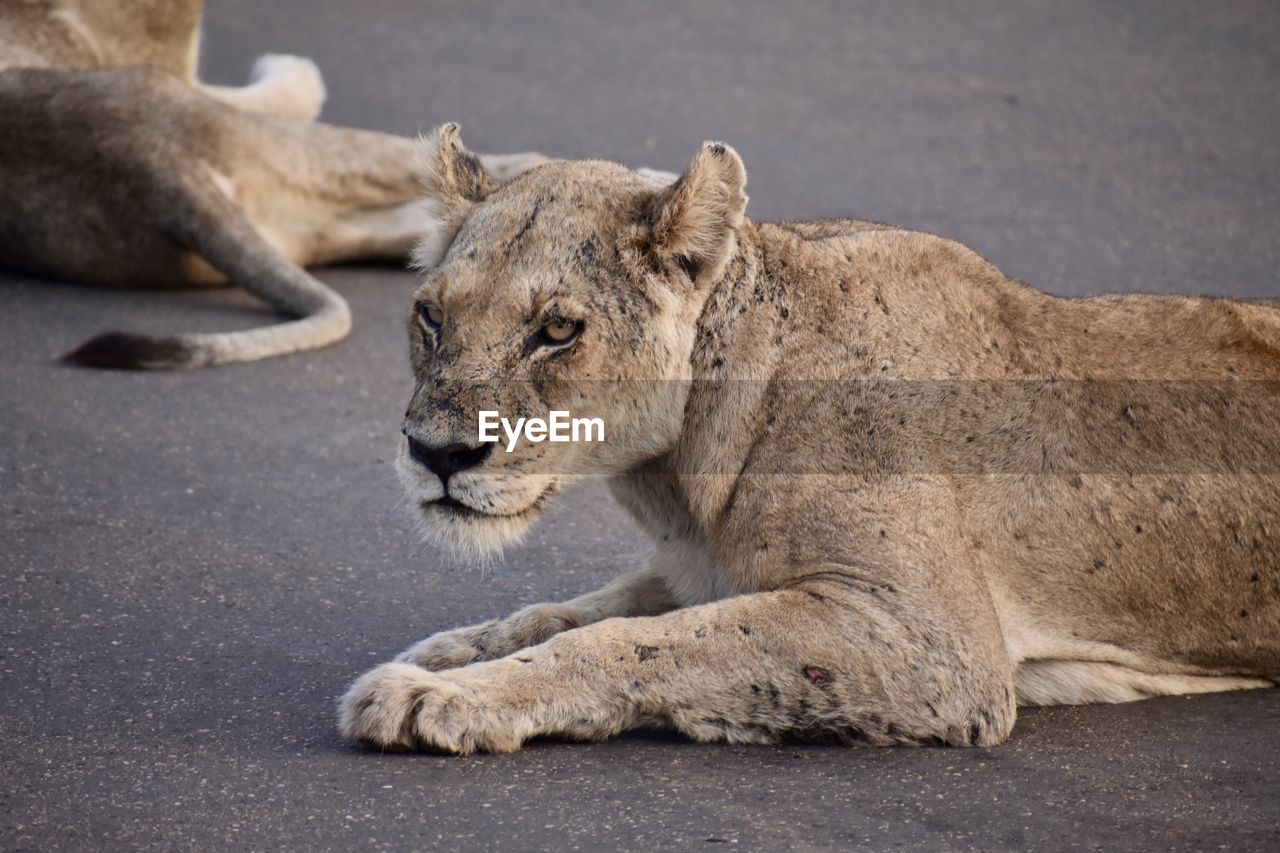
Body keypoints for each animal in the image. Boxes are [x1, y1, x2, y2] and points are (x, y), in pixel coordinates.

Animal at [335, 122, 1274, 747]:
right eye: (430, 316)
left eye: (558, 329)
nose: (438, 454)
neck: (681, 475)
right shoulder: (699, 571)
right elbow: (556, 614)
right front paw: (448, 654)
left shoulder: (934, 645)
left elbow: (636, 643)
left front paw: (443, 698)